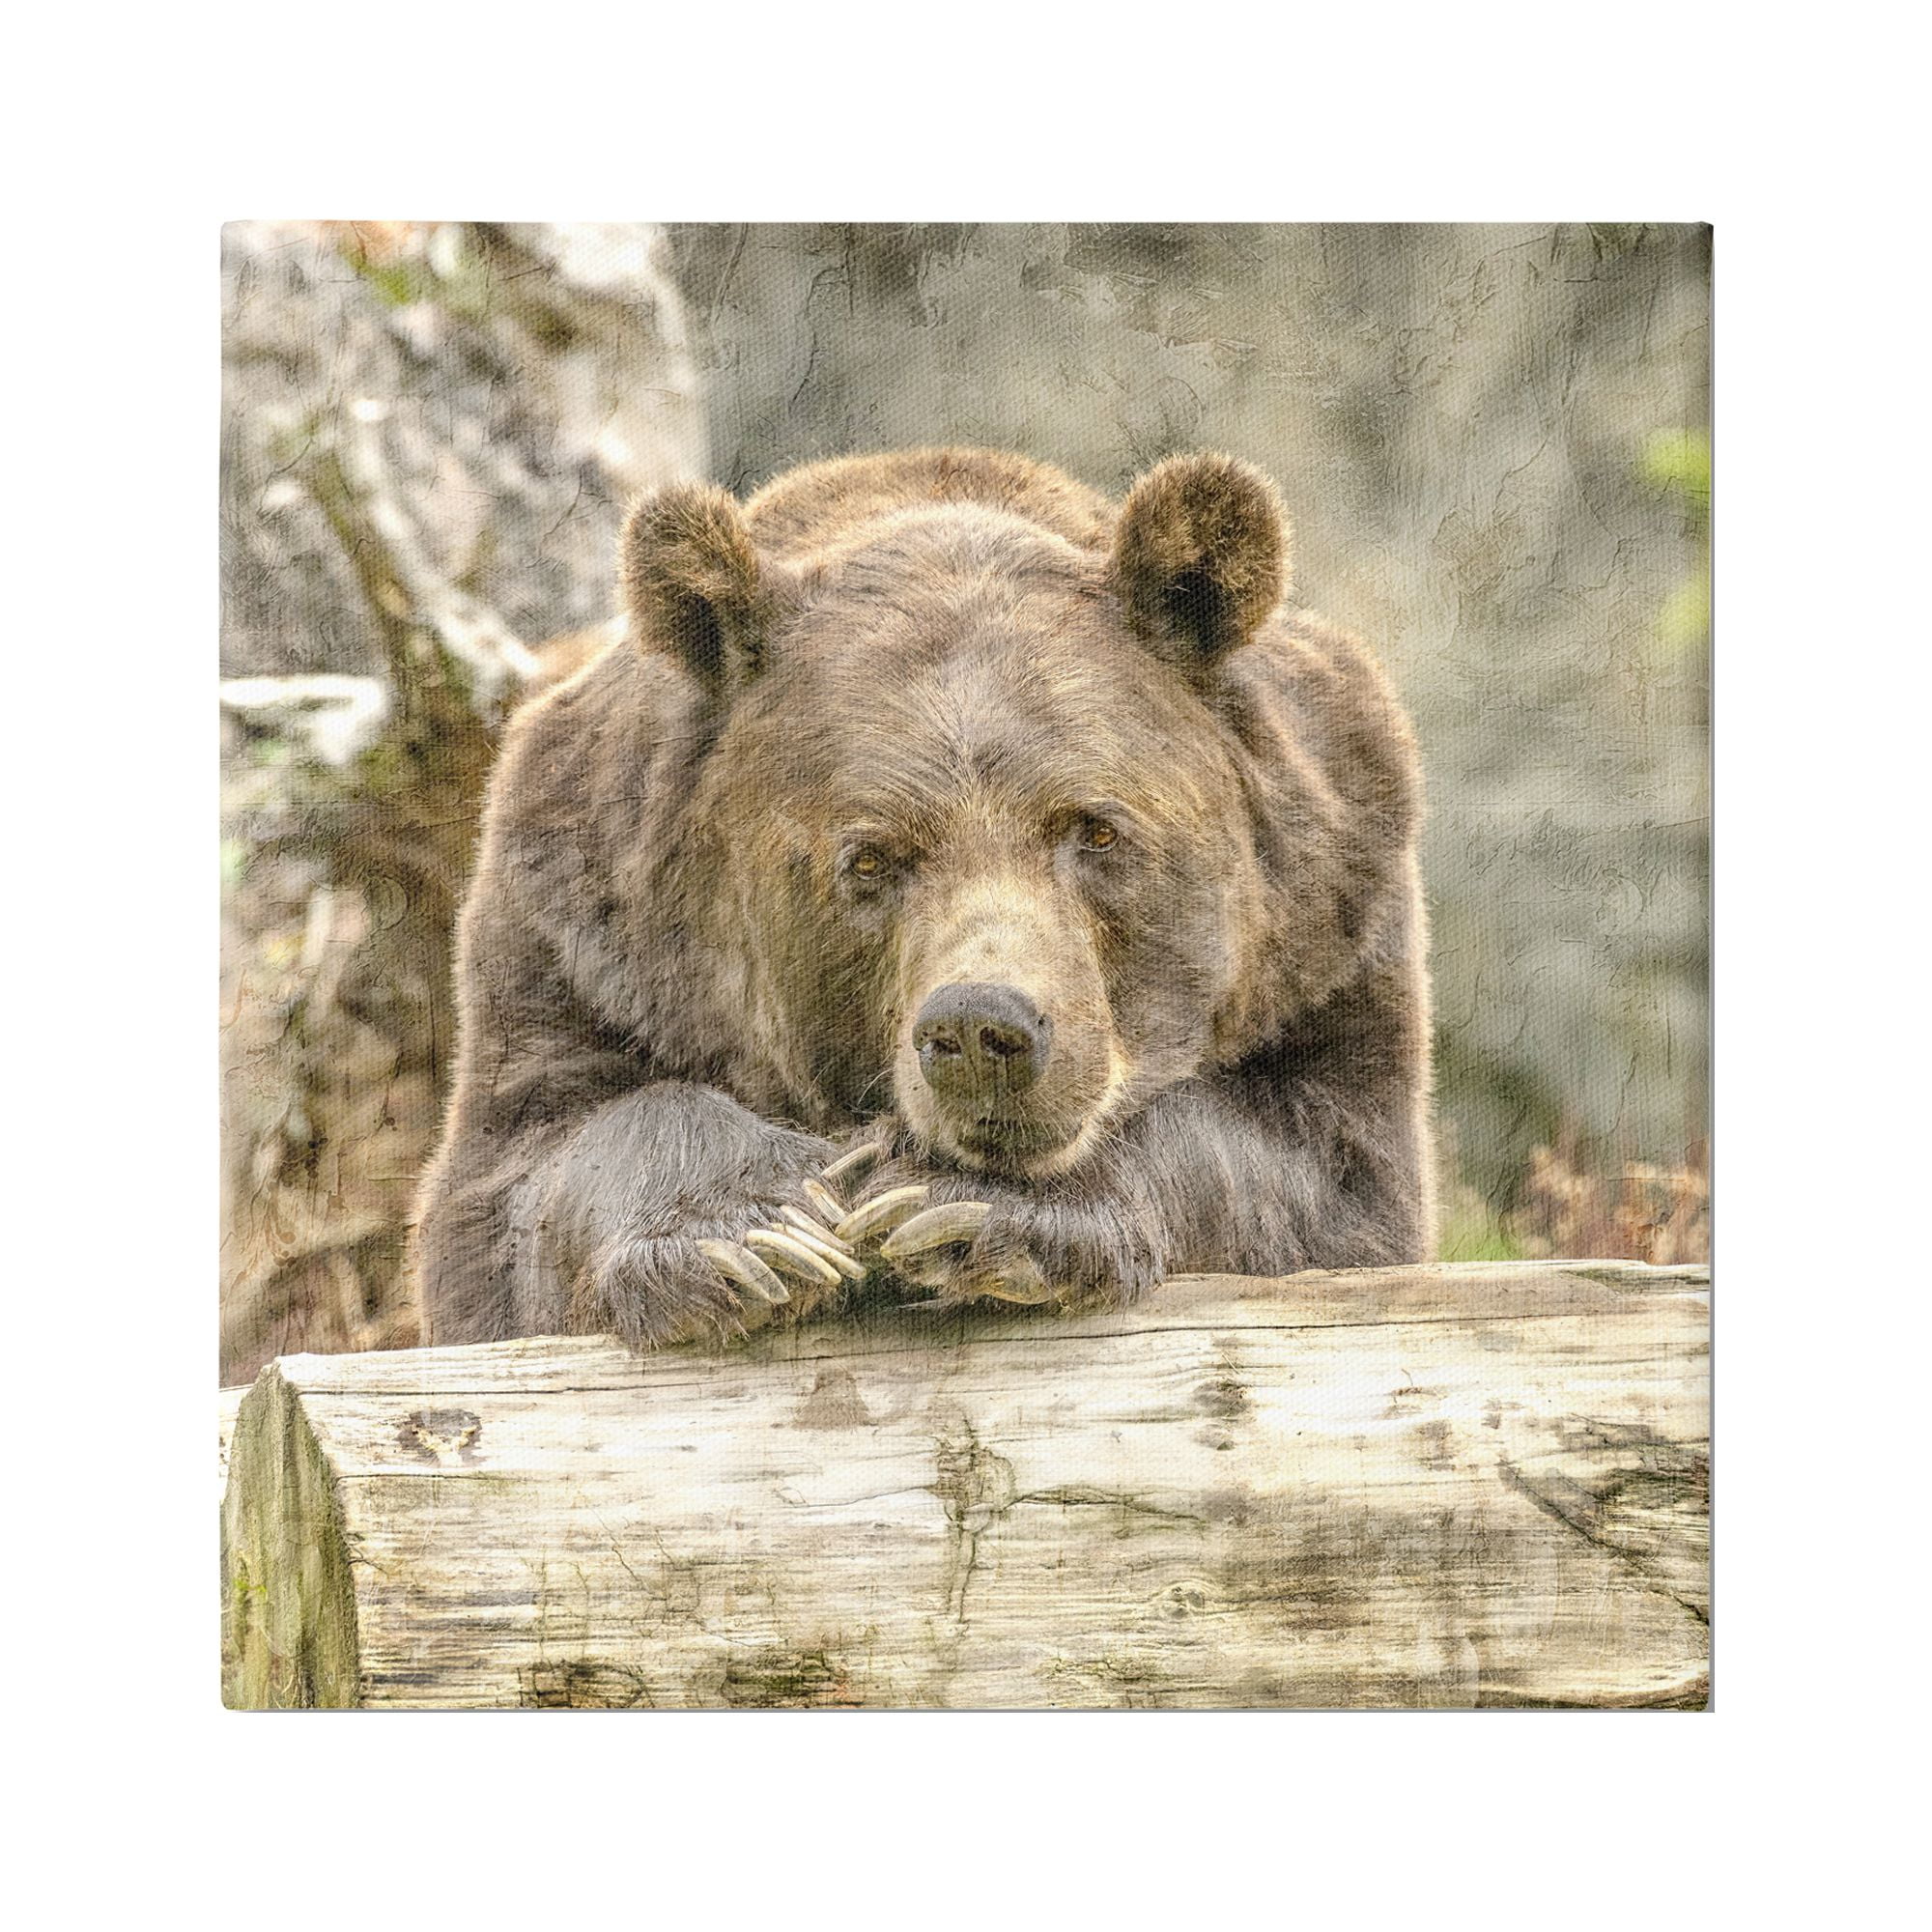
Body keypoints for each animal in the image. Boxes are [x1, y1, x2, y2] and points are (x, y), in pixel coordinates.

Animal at [413, 446, 1433, 1348]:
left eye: (1095, 829)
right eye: (870, 859)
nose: (982, 1029)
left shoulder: (1332, 926)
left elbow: (1315, 1167)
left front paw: (961, 1206)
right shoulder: (580, 936)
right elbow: (523, 1175)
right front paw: (759, 1233)